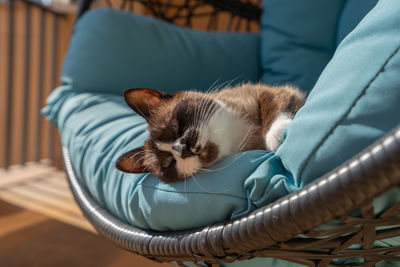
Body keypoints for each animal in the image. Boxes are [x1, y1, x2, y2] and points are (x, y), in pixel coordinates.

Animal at [115, 83, 304, 184]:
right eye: (168, 162)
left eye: (174, 126)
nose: (184, 148)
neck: (234, 136)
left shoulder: (263, 92)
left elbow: (273, 109)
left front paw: (278, 135)